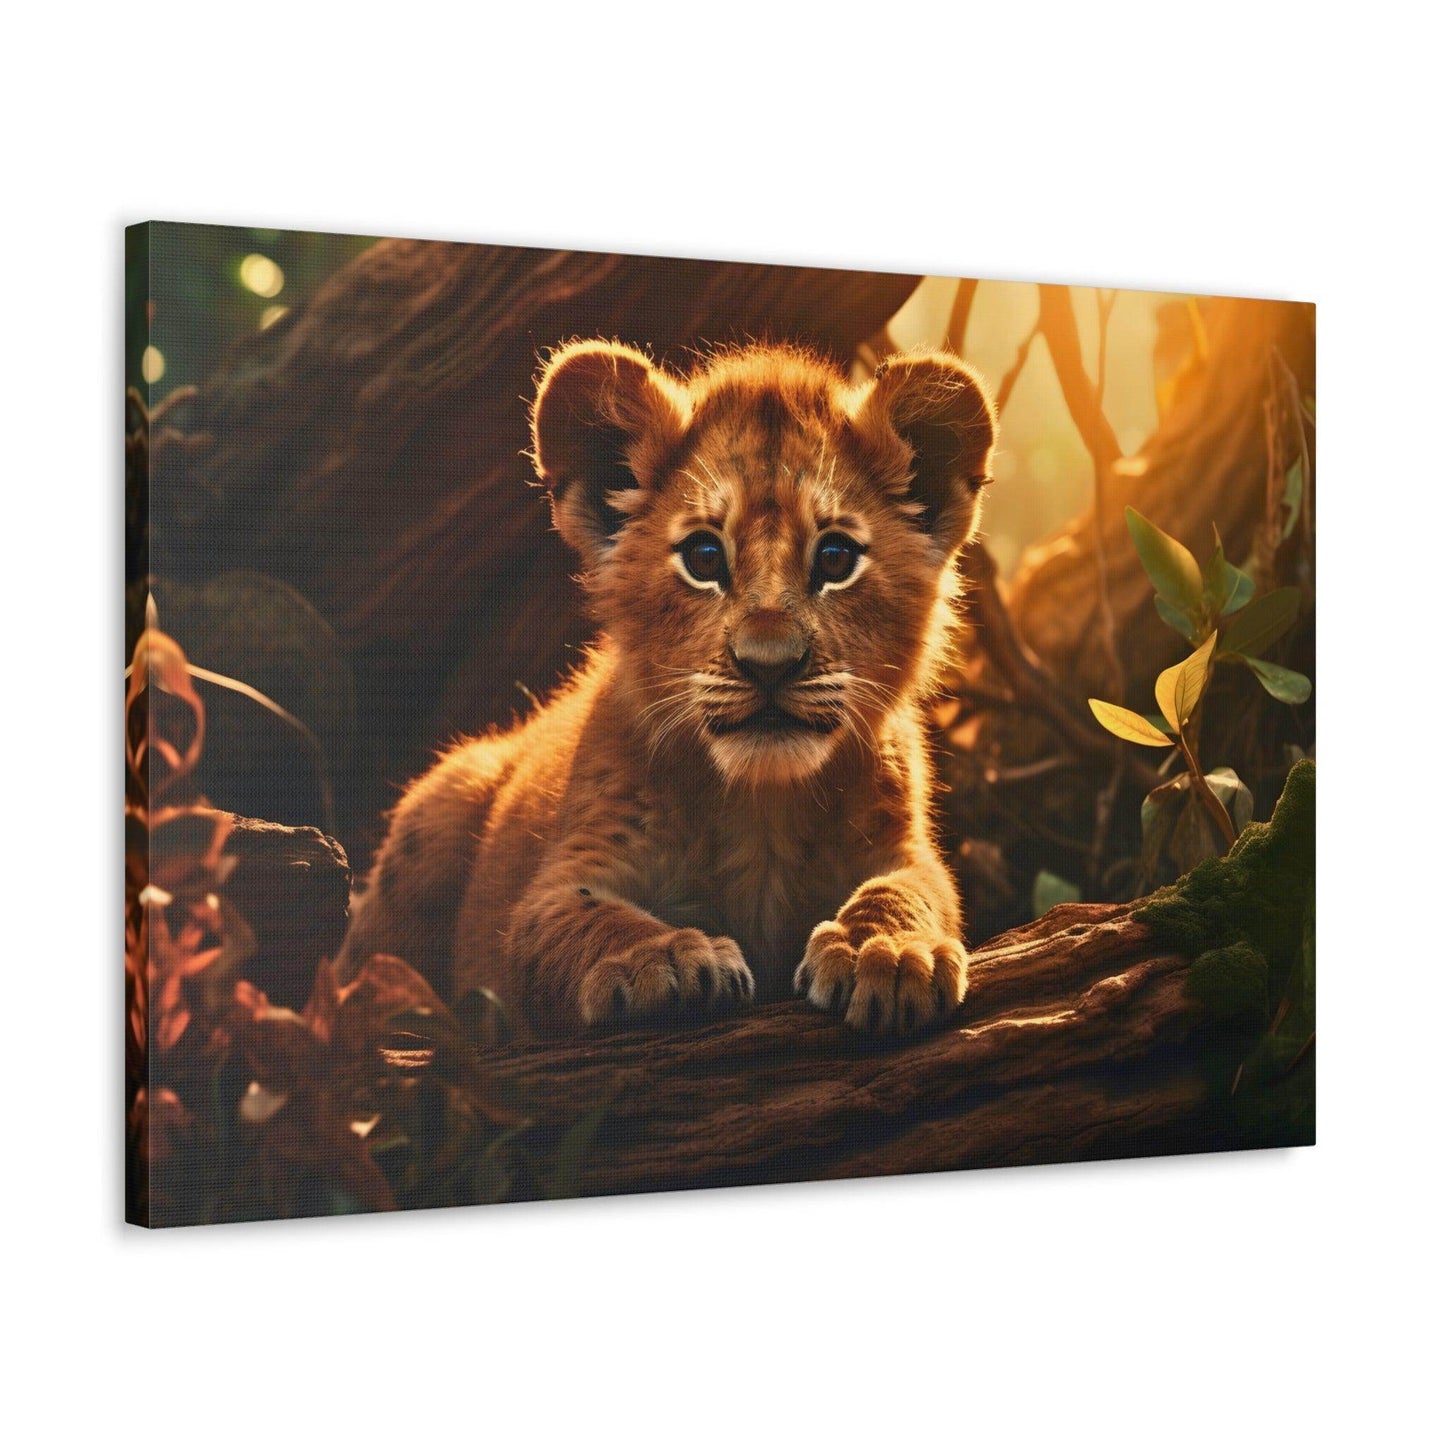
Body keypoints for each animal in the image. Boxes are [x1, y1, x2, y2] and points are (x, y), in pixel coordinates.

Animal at [336, 339, 998, 1037]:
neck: (761, 808)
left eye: (836, 558)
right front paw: (666, 958)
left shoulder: (903, 848)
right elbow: (586, 918)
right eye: (704, 558)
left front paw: (888, 951)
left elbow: (908, 891)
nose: (769, 664)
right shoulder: (558, 881)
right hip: (442, 801)